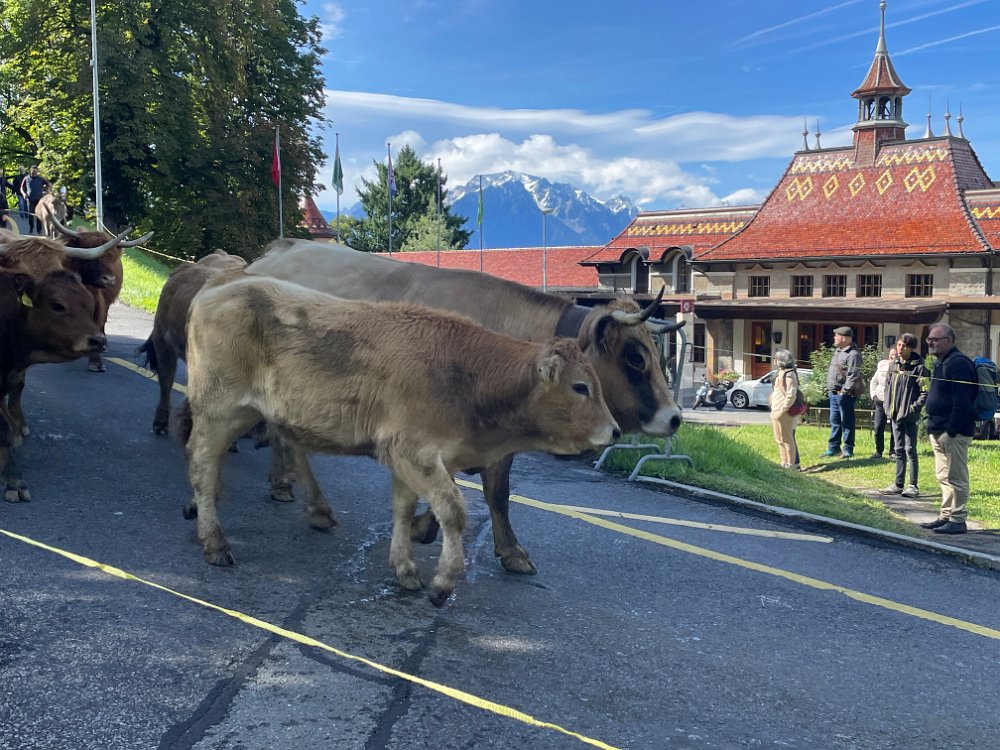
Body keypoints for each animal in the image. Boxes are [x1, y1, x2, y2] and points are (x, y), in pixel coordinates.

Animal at [177, 275, 619, 606]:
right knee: (200, 461)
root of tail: (216, 290)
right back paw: (214, 538)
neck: (466, 374)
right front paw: (443, 582)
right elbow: (452, 510)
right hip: (219, 408)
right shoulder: (413, 450)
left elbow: (404, 510)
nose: (615, 430)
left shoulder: (409, 457)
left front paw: (405, 568)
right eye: (581, 387)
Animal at [245, 238, 684, 575]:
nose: (676, 417)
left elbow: (497, 492)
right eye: (634, 357)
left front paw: (509, 550)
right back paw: (292, 490)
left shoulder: (498, 442)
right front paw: (422, 528)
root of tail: (278, 250)